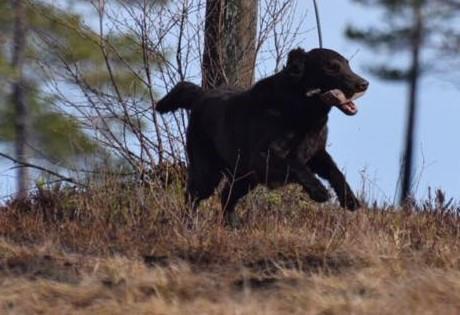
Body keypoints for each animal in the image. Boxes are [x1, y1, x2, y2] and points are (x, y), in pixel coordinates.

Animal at [156, 48, 368, 226]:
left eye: (347, 64)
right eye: (332, 67)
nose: (364, 84)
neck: (301, 108)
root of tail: (201, 95)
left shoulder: (315, 152)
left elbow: (335, 171)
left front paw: (350, 199)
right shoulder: (262, 157)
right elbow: (295, 165)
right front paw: (318, 190)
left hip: (245, 177)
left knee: (225, 197)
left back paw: (233, 226)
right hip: (209, 172)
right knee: (192, 198)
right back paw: (189, 225)